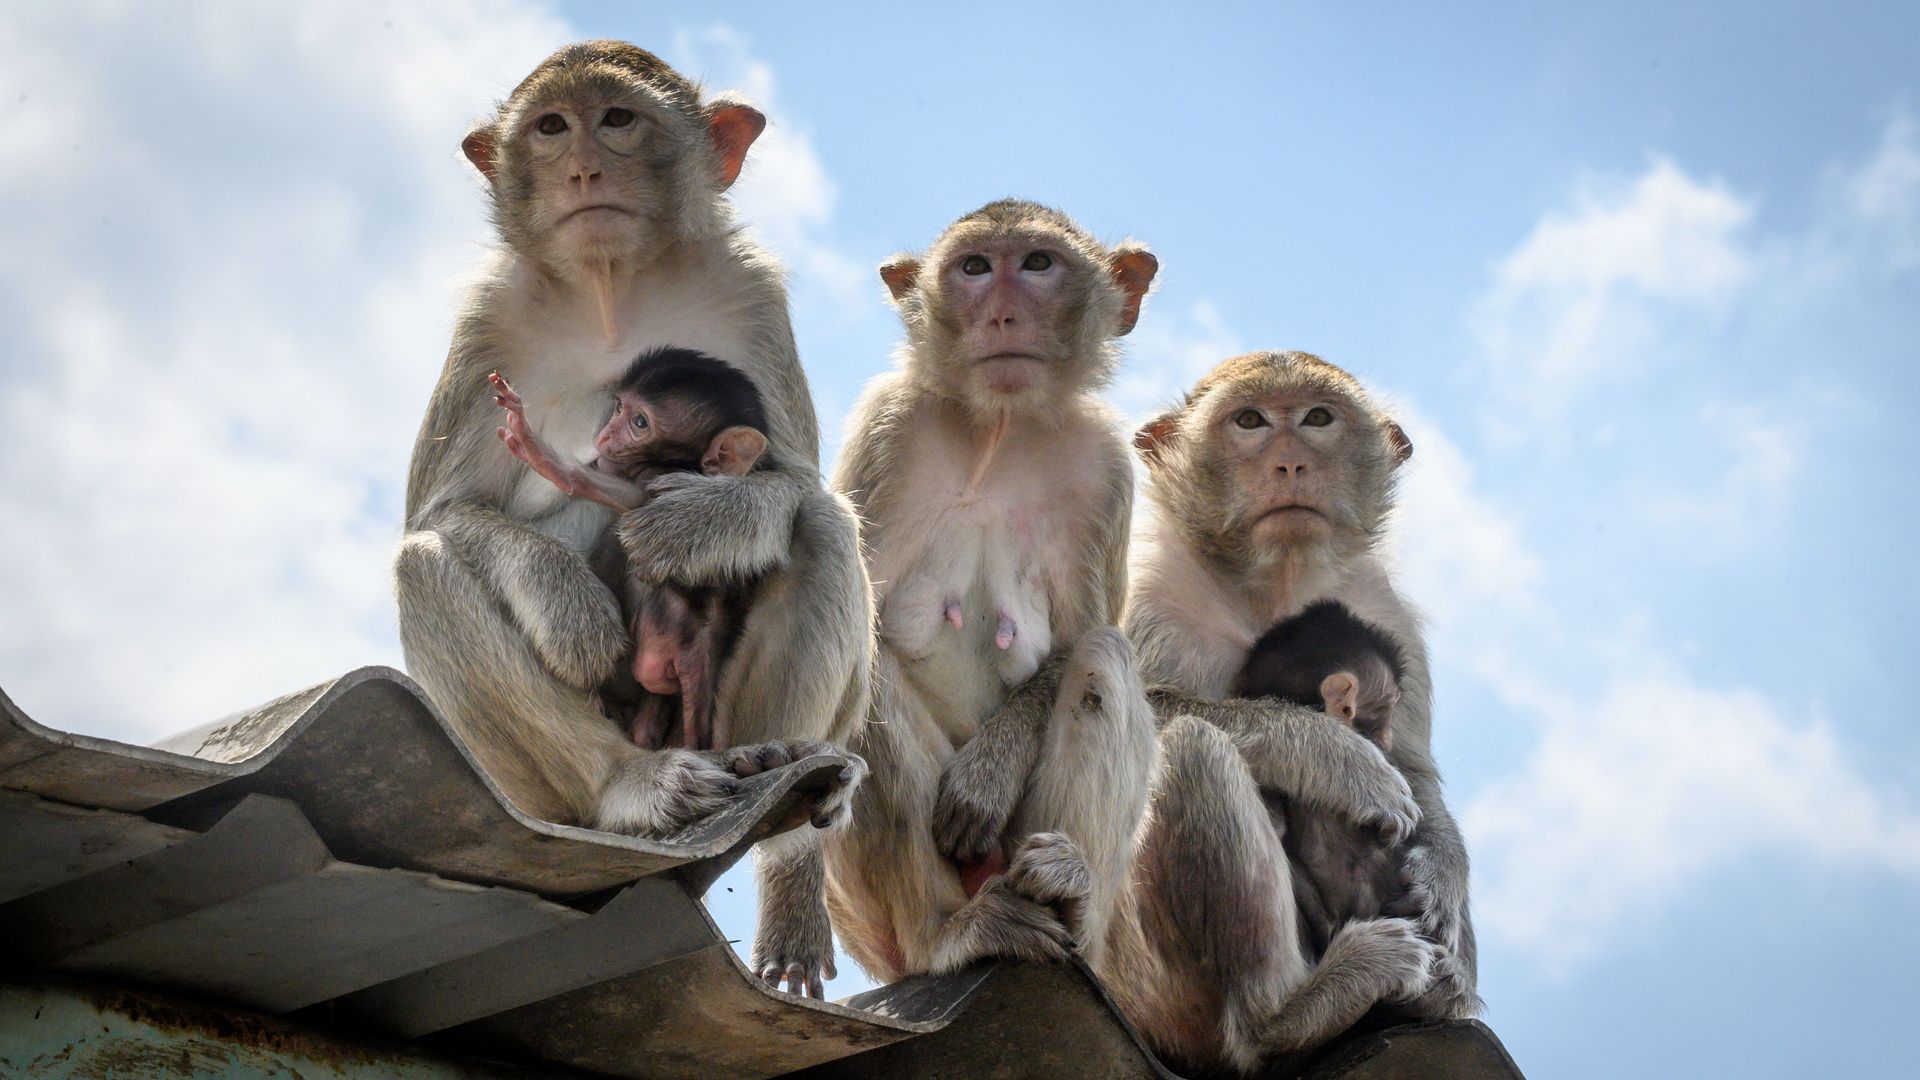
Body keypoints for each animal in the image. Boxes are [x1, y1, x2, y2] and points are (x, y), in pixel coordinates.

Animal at [495, 349, 771, 753]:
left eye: (640, 423)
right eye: (619, 408)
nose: (604, 435)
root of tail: (701, 645)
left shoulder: (655, 481)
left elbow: (619, 495)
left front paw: (542, 454)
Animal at [821, 199, 1152, 976]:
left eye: (1036, 263)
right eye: (974, 268)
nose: (1002, 316)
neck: (999, 427)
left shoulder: (1106, 470)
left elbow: (1075, 640)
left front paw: (988, 775)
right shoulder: (887, 429)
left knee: (1103, 659)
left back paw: (1069, 895)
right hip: (869, 921)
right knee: (871, 674)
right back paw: (950, 932)